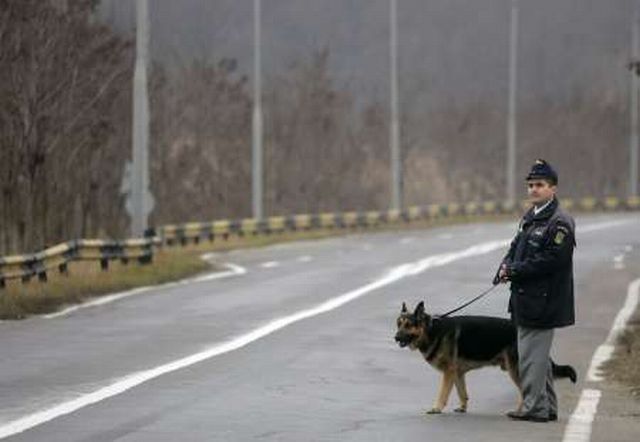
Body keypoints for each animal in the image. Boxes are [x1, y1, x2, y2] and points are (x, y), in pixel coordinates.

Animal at [392, 300, 576, 414]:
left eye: (408, 325)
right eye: (398, 324)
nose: (395, 337)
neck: (431, 330)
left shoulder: (448, 373)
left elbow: (443, 393)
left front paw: (436, 408)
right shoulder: (457, 373)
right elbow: (462, 392)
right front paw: (463, 407)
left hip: (516, 370)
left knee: (525, 392)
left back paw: (519, 412)